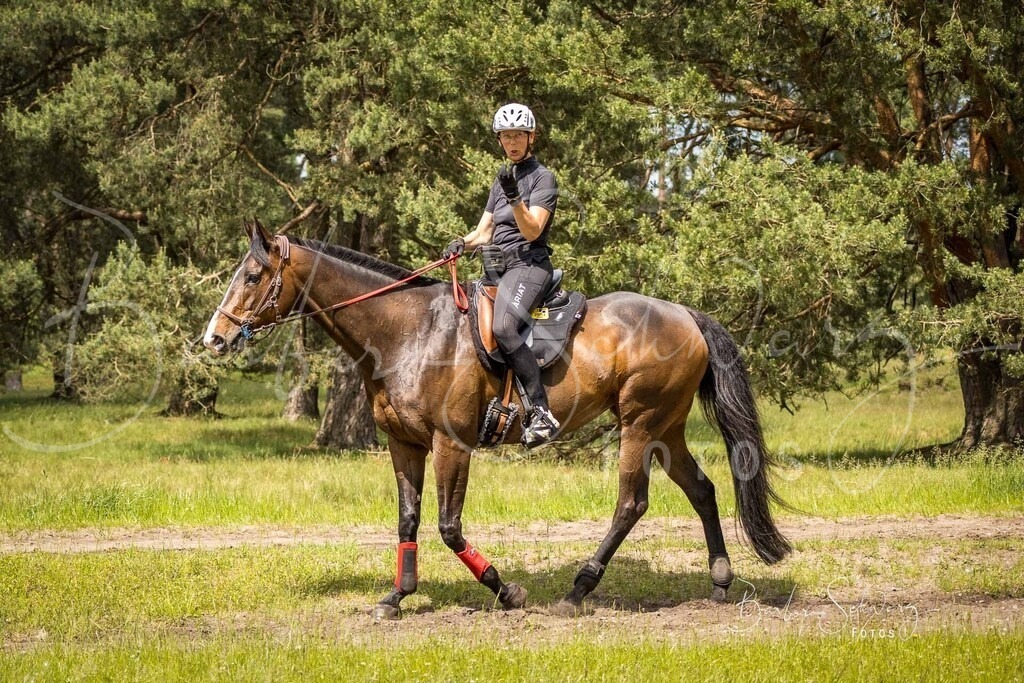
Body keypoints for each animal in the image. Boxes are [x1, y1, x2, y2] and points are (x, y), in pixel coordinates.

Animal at [203, 219, 791, 619]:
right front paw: (397, 596)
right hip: (666, 429)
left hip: (640, 424)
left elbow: (448, 526)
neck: (408, 332)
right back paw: (720, 581)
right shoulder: (404, 445)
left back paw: (578, 588)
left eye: (252, 276)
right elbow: (408, 521)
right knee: (703, 489)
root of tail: (684, 314)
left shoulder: (451, 443)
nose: (214, 338)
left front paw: (506, 590)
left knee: (632, 503)